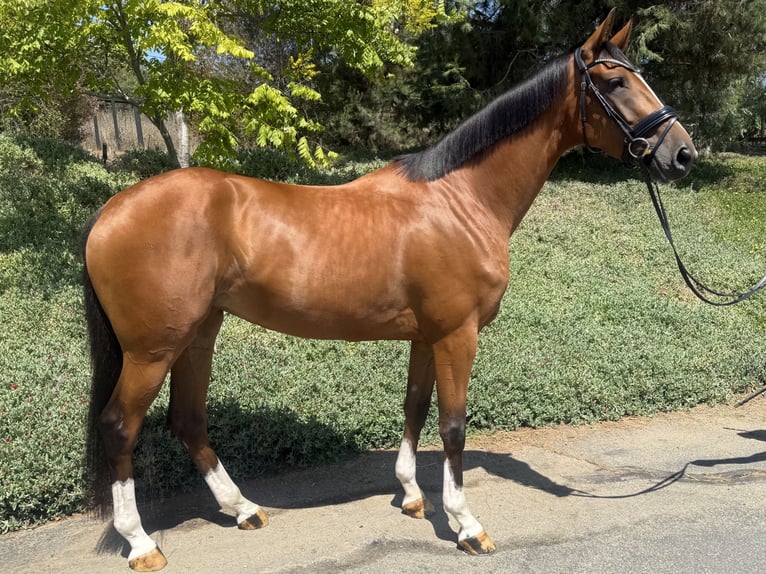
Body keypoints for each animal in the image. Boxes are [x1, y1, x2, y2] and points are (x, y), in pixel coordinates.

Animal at [82, 10, 696, 571]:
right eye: (615, 83)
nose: (683, 154)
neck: (460, 199)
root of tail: (111, 210)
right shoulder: (457, 335)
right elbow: (453, 426)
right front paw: (466, 524)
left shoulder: (427, 335)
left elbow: (415, 406)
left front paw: (412, 495)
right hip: (152, 349)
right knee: (120, 427)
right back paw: (141, 543)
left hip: (197, 333)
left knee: (187, 419)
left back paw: (242, 508)